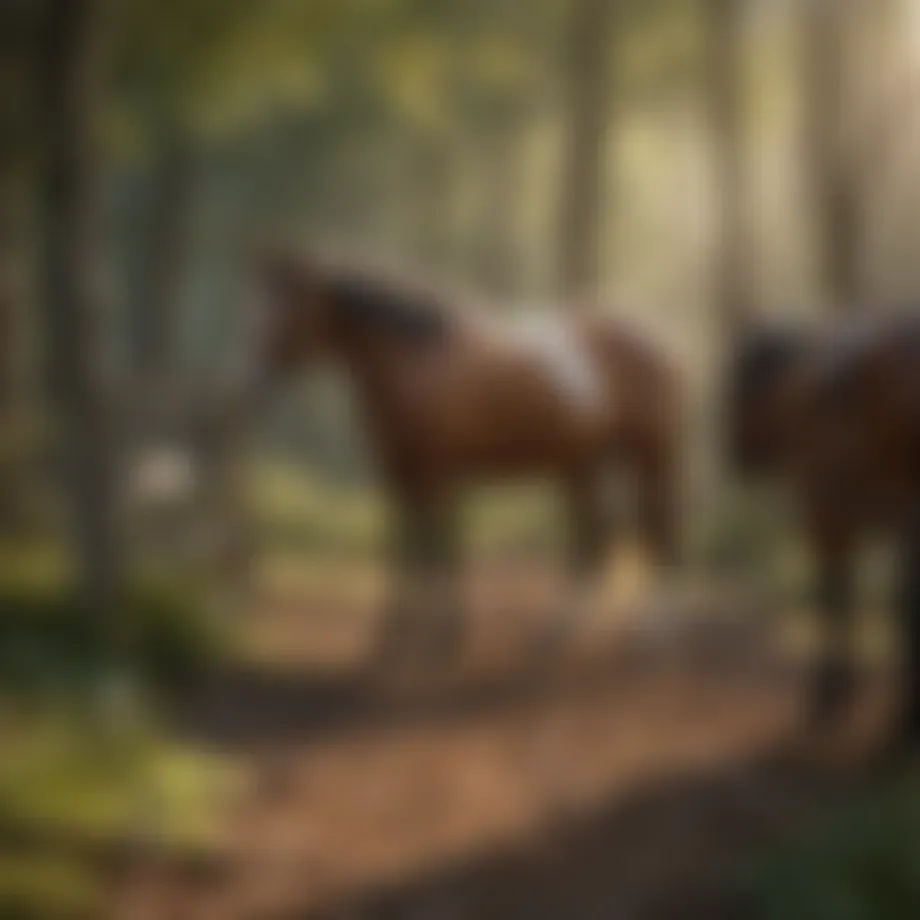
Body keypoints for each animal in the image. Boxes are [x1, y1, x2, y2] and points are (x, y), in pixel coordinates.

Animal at [246, 248, 683, 658]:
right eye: (265, 299)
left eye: (293, 302)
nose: (256, 367)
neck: (420, 363)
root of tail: (659, 341)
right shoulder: (401, 478)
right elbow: (408, 552)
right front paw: (393, 638)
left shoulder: (437, 477)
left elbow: (439, 552)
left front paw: (442, 639)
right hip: (583, 464)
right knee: (595, 536)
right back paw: (557, 634)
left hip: (648, 457)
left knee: (653, 529)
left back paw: (647, 639)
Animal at [728, 312, 920, 745]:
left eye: (733, 386)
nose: (737, 456)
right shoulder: (860, 523)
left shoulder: (826, 518)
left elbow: (833, 595)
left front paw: (831, 690)